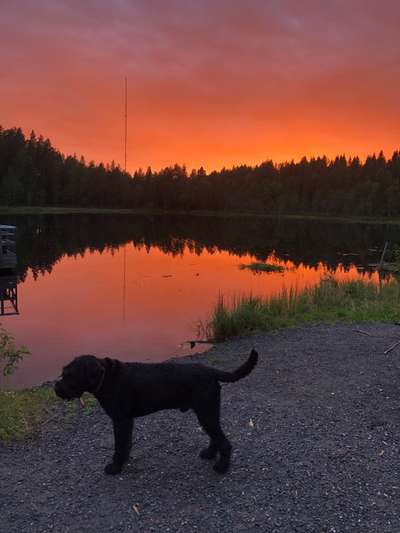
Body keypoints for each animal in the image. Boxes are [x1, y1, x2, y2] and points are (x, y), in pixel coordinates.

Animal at [54, 350, 258, 474]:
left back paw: (222, 467)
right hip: (208, 413)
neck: (106, 378)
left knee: (224, 442)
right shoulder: (126, 421)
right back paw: (208, 454)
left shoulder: (120, 420)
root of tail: (211, 372)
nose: (56, 388)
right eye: (63, 373)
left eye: (70, 376)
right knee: (215, 437)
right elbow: (126, 444)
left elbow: (119, 445)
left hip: (206, 413)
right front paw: (123, 461)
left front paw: (115, 467)